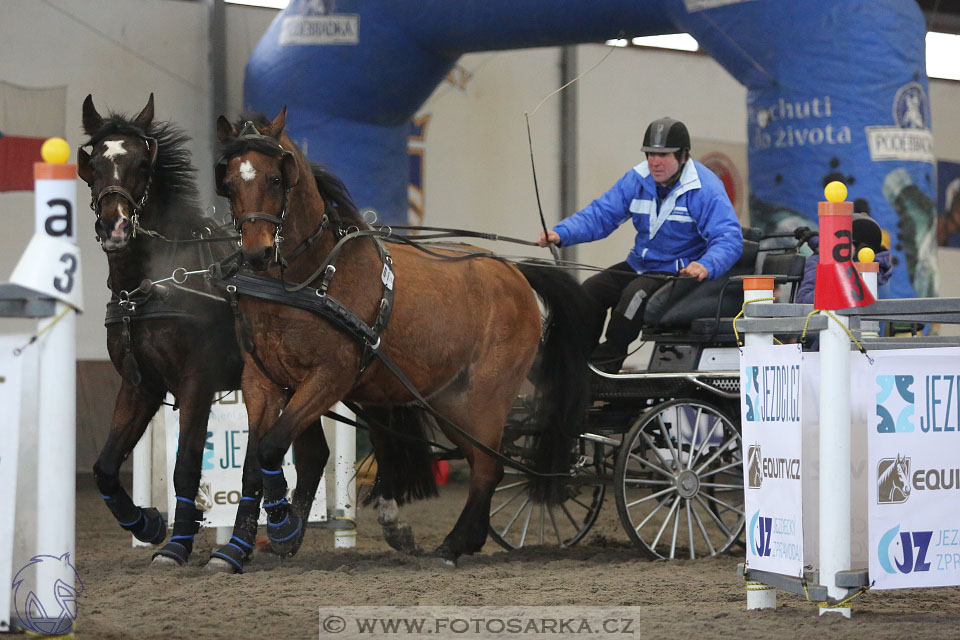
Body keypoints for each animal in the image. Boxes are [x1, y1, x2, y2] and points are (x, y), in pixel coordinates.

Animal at [77, 94, 330, 568]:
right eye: (95, 162)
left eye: (142, 163)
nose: (114, 226)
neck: (148, 285)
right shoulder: (140, 386)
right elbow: (104, 468)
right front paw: (147, 524)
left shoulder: (195, 382)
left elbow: (186, 466)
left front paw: (177, 543)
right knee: (310, 454)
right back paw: (283, 537)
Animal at [217, 110, 592, 564]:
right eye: (228, 181)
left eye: (275, 178)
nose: (256, 253)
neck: (311, 278)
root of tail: (515, 272)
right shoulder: (264, 379)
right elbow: (255, 461)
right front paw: (235, 549)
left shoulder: (331, 377)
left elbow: (273, 447)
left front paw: (283, 525)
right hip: (449, 402)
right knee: (483, 461)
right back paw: (467, 540)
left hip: (486, 395)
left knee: (489, 466)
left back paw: (453, 545)